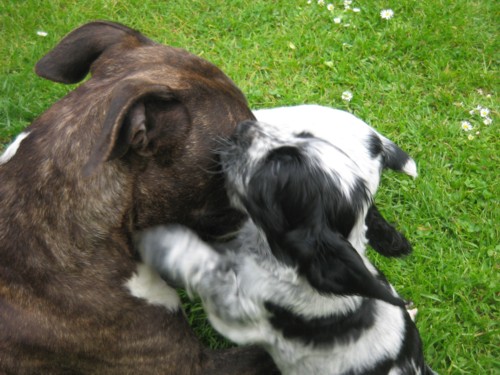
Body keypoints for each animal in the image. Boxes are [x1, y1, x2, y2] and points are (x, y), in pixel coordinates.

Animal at [137, 106, 434, 375]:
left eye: (278, 167)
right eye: (300, 136)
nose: (243, 126)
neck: (271, 252)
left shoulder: (238, 313)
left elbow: (204, 270)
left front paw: (164, 242)